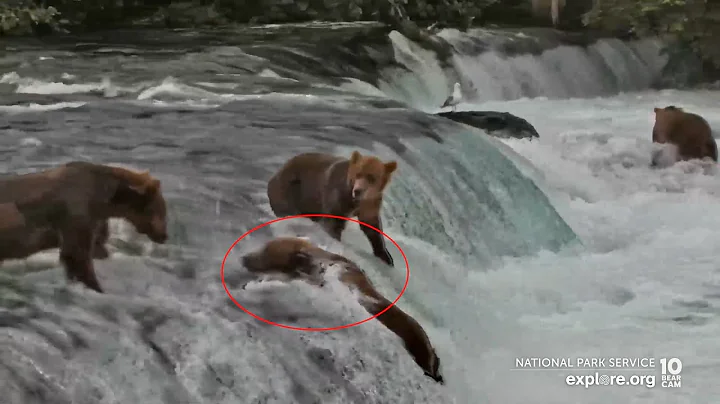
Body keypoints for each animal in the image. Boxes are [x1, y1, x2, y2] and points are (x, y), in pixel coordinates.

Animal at [0, 161, 169, 293]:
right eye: (161, 210)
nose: (164, 236)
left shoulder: (95, 222)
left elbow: (97, 248)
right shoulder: (76, 215)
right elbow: (77, 256)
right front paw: (96, 287)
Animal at [267, 151, 398, 267]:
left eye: (372, 177)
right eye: (358, 174)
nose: (358, 191)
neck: (354, 201)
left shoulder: (369, 204)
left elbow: (372, 227)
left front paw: (386, 257)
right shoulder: (338, 197)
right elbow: (333, 224)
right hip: (289, 191)